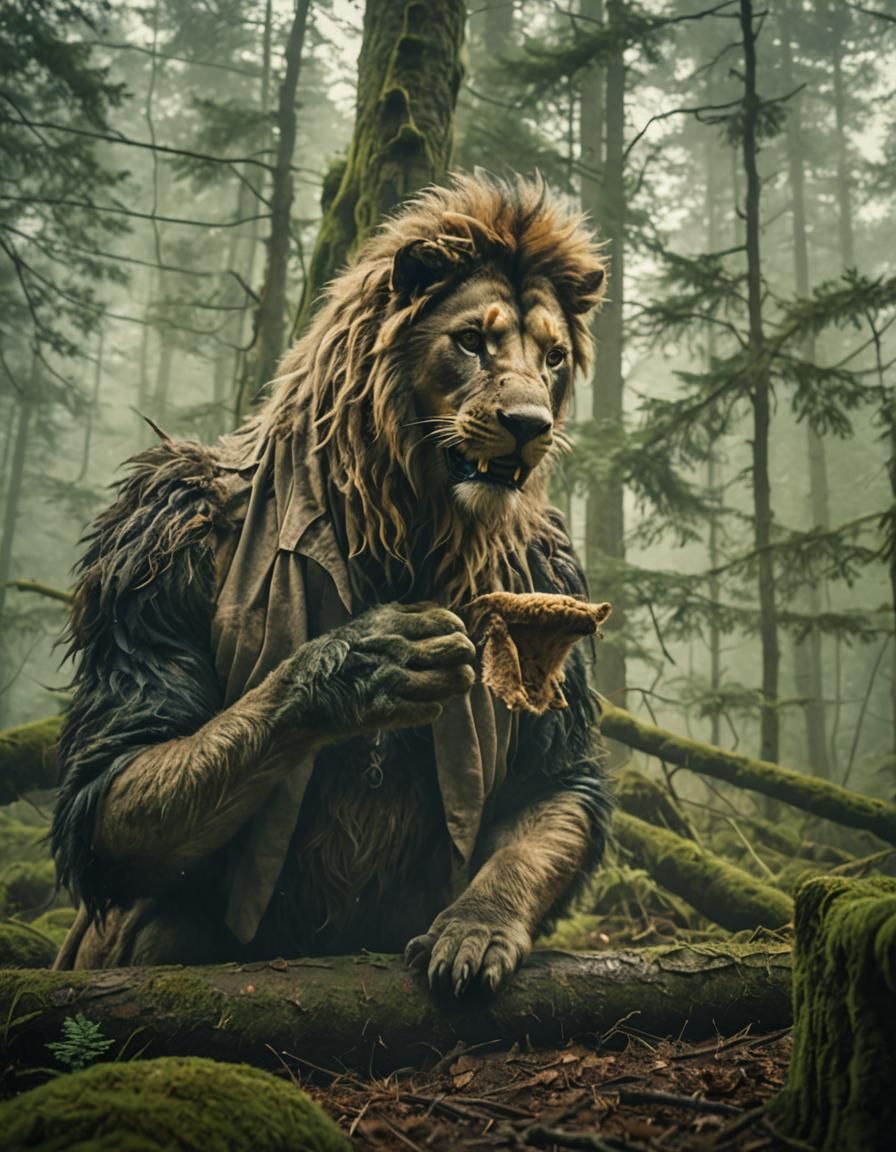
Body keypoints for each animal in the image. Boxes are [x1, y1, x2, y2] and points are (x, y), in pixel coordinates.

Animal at [51, 173, 611, 993]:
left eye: (553, 356)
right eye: (472, 341)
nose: (529, 423)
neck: (411, 520)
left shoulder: (554, 583)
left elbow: (549, 788)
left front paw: (476, 930)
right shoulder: (154, 543)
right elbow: (110, 777)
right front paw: (363, 662)